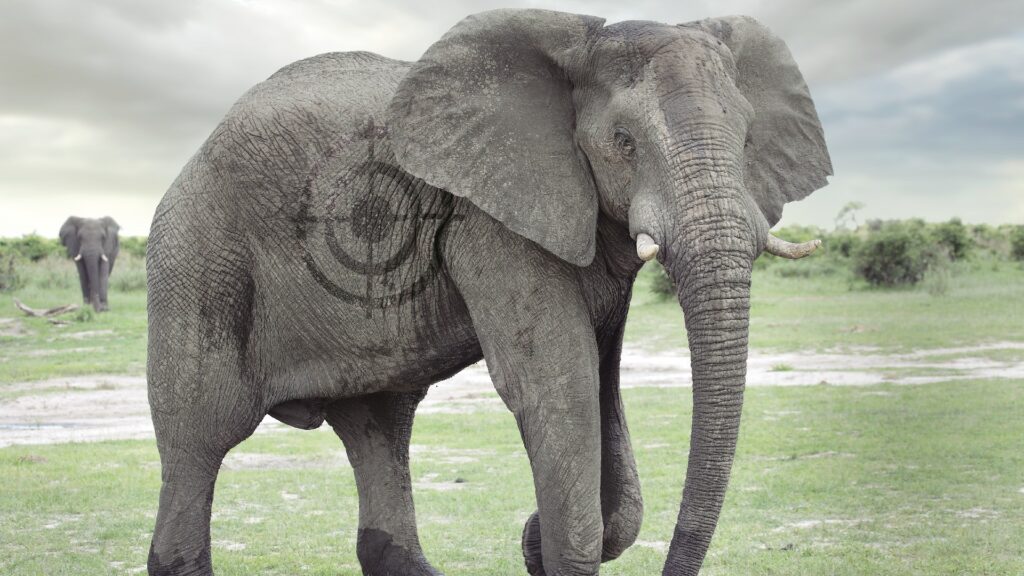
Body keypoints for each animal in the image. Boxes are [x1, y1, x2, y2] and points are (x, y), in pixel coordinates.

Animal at [145, 9, 830, 576]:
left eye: (748, 140)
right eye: (623, 142)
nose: (526, 534)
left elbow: (601, 384)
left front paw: (536, 538)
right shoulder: (488, 218)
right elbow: (557, 382)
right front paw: (544, 540)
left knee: (379, 425)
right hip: (197, 256)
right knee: (201, 433)